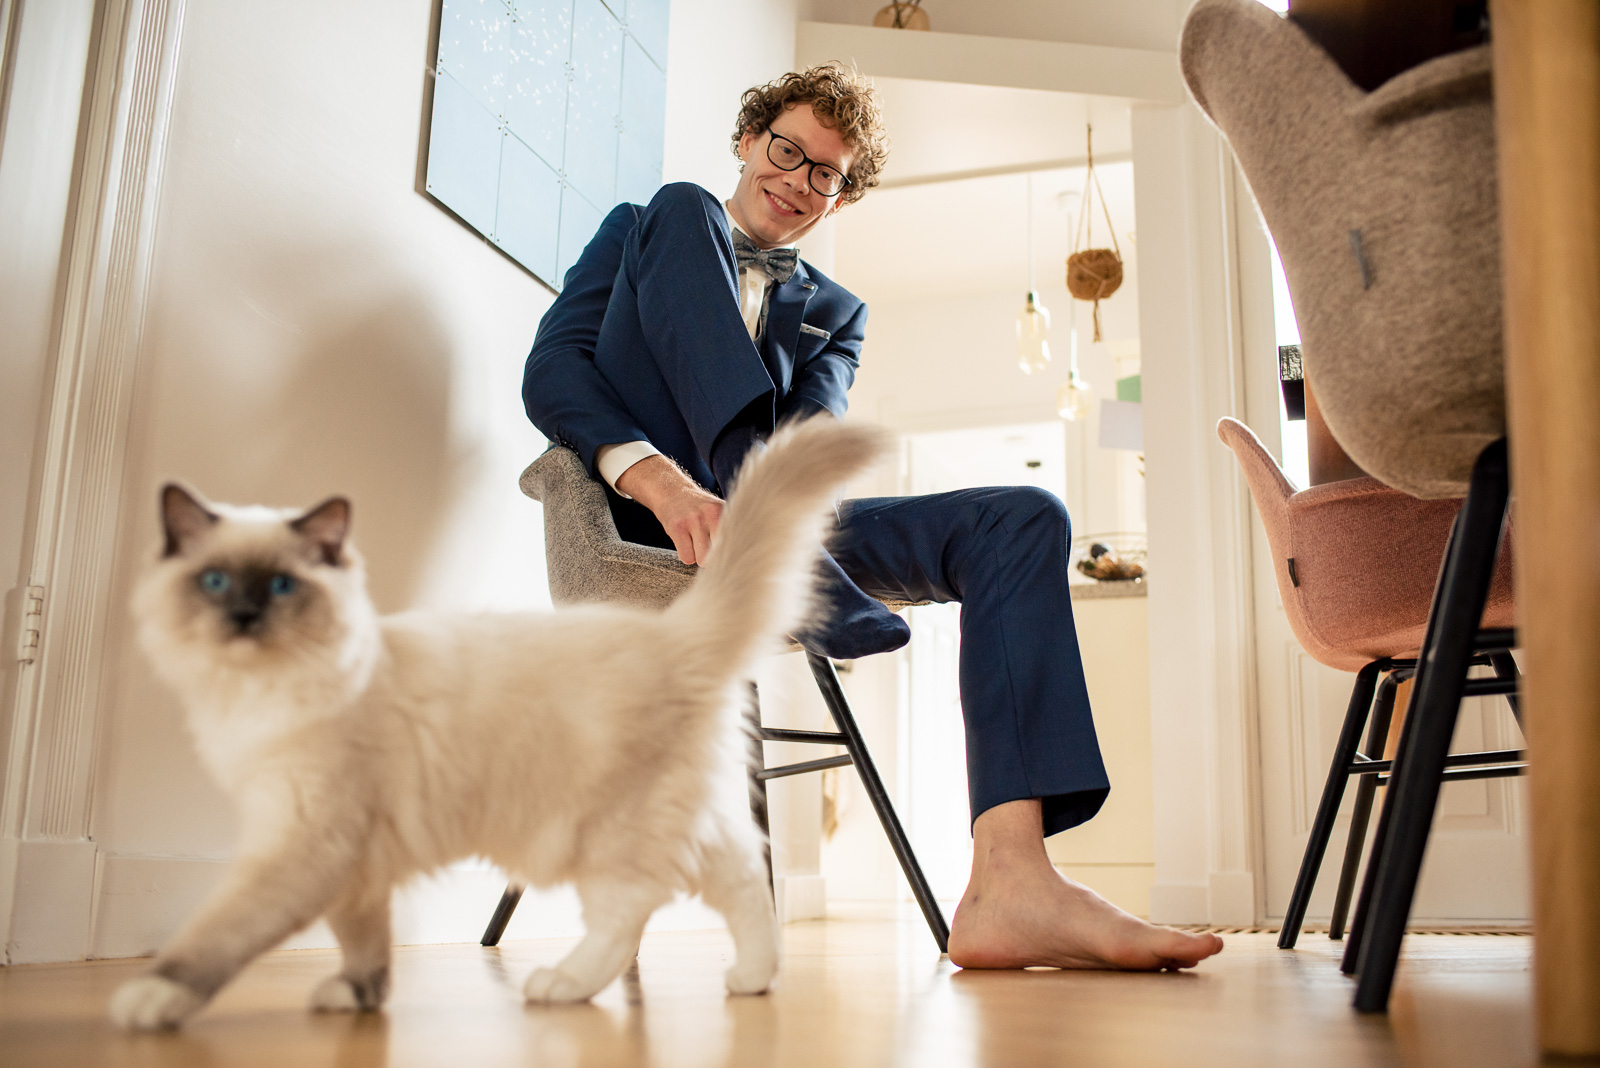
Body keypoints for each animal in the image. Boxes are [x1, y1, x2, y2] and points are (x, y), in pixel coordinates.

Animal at [112, 415, 889, 1023]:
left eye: (280, 587)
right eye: (214, 583)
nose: (243, 619)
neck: (262, 700)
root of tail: (671, 631)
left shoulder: (304, 842)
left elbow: (218, 932)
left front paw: (152, 999)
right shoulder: (351, 860)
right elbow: (363, 939)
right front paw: (359, 996)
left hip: (600, 831)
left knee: (634, 908)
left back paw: (563, 985)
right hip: (664, 819)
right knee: (740, 879)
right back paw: (751, 979)